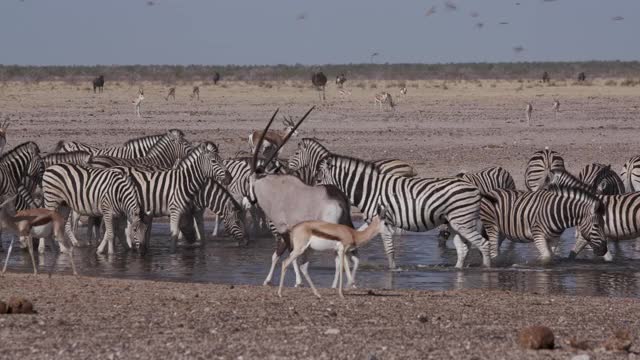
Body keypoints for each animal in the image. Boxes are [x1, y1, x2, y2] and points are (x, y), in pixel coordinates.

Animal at [292, 139, 492, 268]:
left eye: (318, 178)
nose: (314, 195)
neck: (369, 189)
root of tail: (474, 187)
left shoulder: (385, 222)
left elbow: (389, 250)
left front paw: (392, 270)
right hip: (456, 222)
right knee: (463, 248)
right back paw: (458, 270)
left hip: (462, 221)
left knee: (483, 245)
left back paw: (487, 271)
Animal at [480, 186, 608, 264]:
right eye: (596, 226)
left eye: (603, 225)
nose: (604, 250)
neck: (557, 212)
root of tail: (491, 191)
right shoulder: (538, 235)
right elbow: (547, 256)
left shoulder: (555, 238)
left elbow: (550, 255)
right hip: (492, 227)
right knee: (493, 250)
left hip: (502, 231)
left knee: (496, 248)